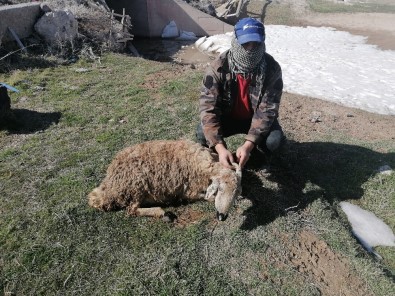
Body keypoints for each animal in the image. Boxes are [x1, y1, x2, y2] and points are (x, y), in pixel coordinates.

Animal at [88, 140, 243, 221]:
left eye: (236, 195)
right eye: (221, 188)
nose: (222, 216)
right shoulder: (189, 190)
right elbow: (207, 197)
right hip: (137, 185)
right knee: (131, 210)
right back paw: (163, 213)